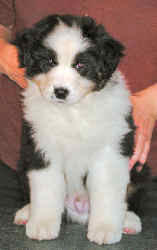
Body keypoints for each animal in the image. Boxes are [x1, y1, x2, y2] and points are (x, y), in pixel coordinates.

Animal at [12, 15, 150, 244]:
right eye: (50, 61)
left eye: (80, 65)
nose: (60, 92)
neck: (73, 112)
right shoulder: (42, 148)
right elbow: (46, 188)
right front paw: (42, 225)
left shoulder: (110, 150)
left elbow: (107, 191)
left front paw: (105, 229)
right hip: (24, 160)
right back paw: (26, 213)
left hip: (139, 167)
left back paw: (128, 221)